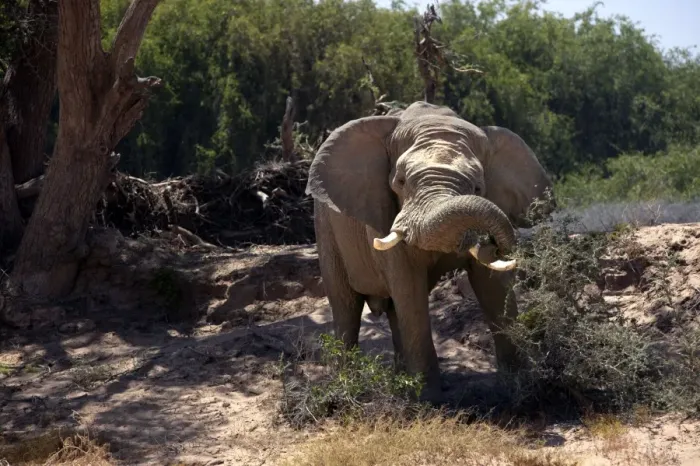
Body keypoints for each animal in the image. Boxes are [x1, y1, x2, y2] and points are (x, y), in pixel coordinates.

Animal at [305, 101, 554, 403]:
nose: (493, 243)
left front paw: (522, 389)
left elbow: (493, 286)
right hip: (325, 228)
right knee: (346, 305)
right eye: (400, 182)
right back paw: (347, 386)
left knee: (392, 309)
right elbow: (409, 286)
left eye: (478, 188)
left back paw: (400, 383)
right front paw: (429, 399)